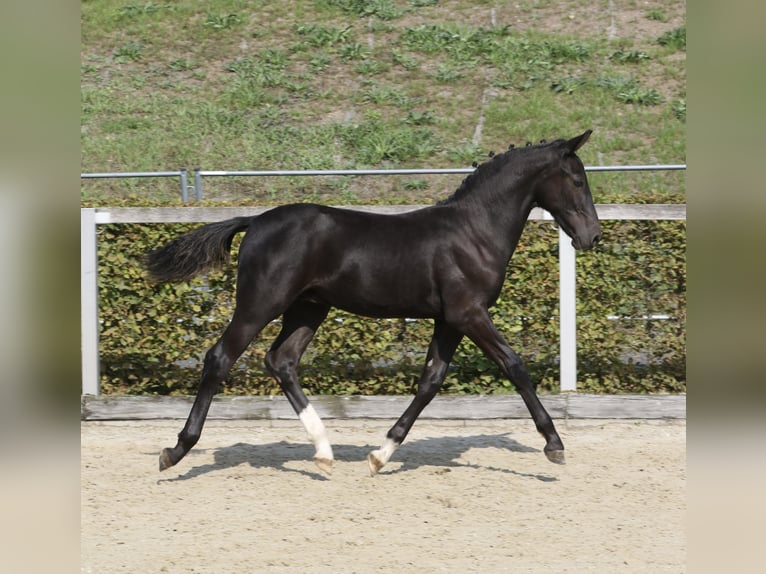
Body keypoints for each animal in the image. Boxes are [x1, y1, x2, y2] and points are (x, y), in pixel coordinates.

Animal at [144, 130, 600, 476]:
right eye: (578, 180)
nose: (591, 236)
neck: (474, 232)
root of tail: (255, 221)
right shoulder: (469, 313)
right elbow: (514, 366)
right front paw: (554, 444)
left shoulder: (449, 320)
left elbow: (431, 380)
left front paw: (381, 454)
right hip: (260, 304)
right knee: (220, 357)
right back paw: (176, 450)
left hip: (309, 308)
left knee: (281, 361)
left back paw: (324, 452)